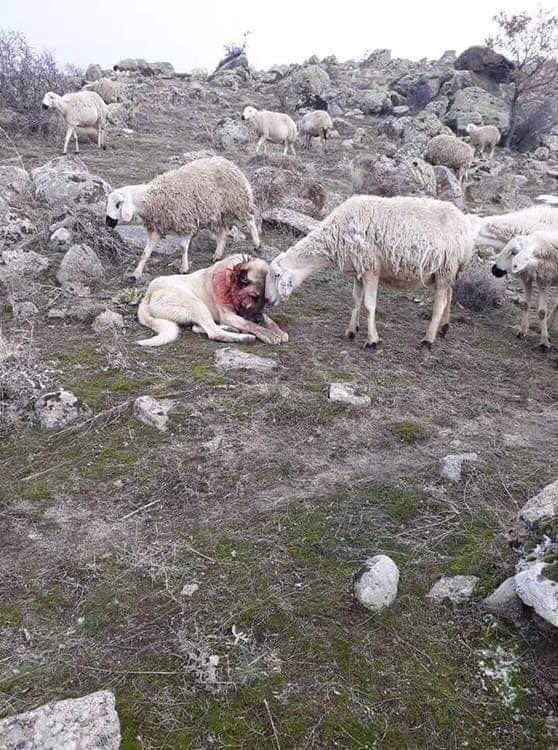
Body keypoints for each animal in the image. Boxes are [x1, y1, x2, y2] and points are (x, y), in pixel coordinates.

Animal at [106, 156, 262, 282]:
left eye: (118, 204)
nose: (108, 222)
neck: (153, 198)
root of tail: (229, 163)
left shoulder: (186, 222)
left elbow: (182, 247)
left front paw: (184, 268)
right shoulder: (155, 228)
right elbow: (146, 252)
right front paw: (136, 273)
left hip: (238, 202)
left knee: (250, 220)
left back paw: (256, 244)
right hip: (215, 214)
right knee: (222, 233)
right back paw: (217, 255)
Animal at [138, 253, 290, 346]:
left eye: (265, 300)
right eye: (253, 297)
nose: (258, 319)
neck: (230, 282)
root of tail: (148, 294)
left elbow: (268, 320)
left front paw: (277, 330)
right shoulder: (229, 315)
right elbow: (249, 324)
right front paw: (266, 333)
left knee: (198, 327)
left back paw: (231, 329)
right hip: (195, 303)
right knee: (213, 332)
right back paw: (243, 337)